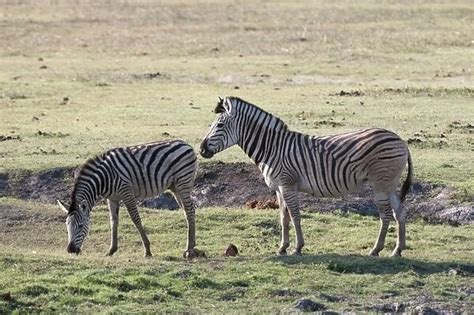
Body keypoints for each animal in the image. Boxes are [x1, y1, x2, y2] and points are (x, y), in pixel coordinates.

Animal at [57, 141, 198, 260]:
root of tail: (186, 144)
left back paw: (189, 249)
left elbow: (135, 219)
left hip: (183, 183)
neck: (103, 179)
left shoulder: (126, 193)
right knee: (187, 211)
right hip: (175, 187)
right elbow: (113, 221)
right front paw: (111, 250)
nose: (70, 250)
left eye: (81, 226)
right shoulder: (112, 198)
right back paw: (192, 246)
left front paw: (147, 250)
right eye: (66, 225)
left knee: (190, 210)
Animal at [199, 97, 412, 258]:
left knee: (385, 215)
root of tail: (400, 140)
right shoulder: (279, 189)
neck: (272, 148)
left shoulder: (288, 184)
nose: (201, 149)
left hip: (380, 184)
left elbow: (295, 216)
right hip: (389, 185)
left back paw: (376, 250)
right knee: (399, 213)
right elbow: (283, 218)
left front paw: (297, 247)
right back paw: (397, 250)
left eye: (219, 125)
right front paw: (282, 247)